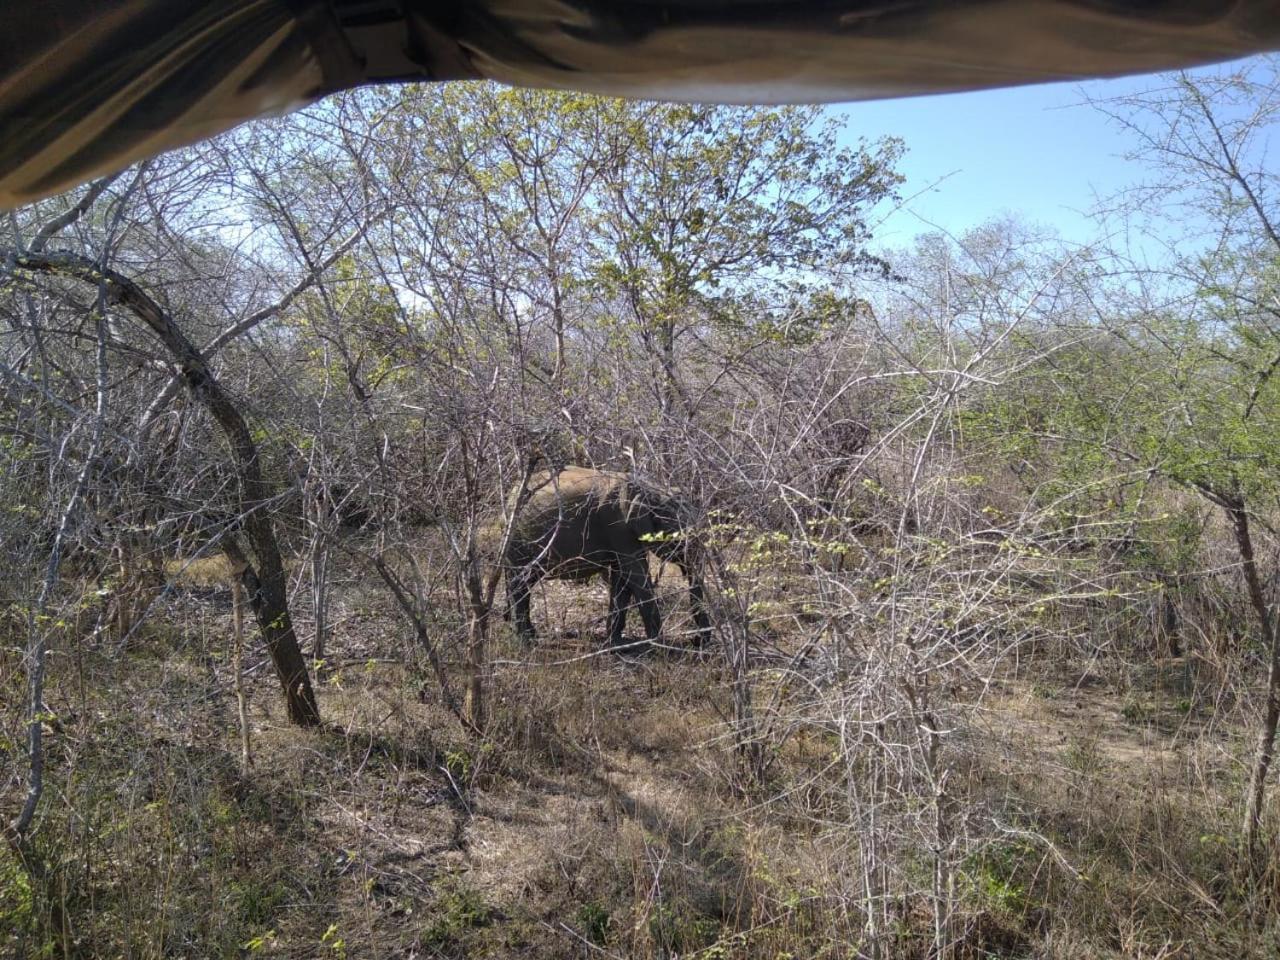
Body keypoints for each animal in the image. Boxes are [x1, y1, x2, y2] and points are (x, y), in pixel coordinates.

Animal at [504, 468, 716, 655]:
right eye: (679, 540)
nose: (696, 641)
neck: (649, 490)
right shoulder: (618, 525)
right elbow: (636, 574)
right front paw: (661, 647)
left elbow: (621, 578)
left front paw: (617, 643)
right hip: (519, 538)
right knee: (520, 580)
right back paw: (526, 640)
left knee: (527, 580)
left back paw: (528, 632)